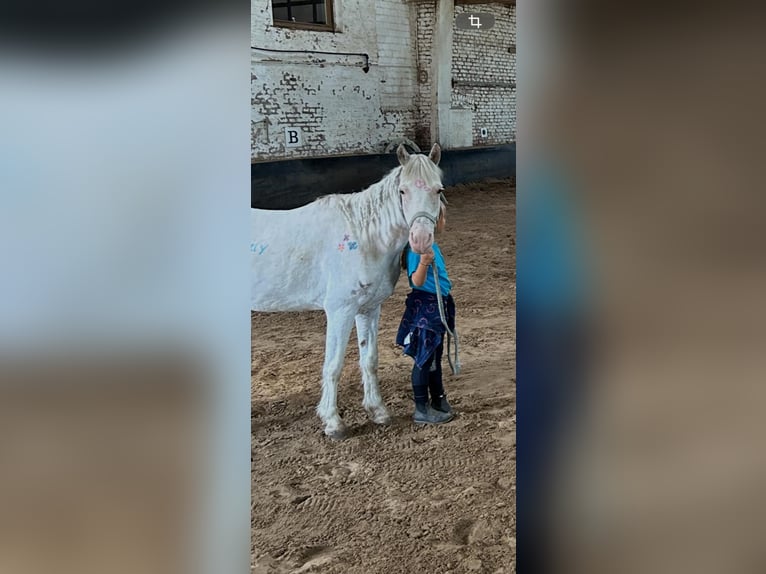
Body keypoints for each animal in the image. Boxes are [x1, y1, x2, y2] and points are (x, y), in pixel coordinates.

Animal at [251, 143, 445, 439]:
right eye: (403, 191)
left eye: (438, 190)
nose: (421, 240)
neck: (364, 238)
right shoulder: (339, 311)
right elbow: (333, 365)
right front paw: (333, 422)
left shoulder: (368, 309)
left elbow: (369, 359)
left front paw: (378, 411)